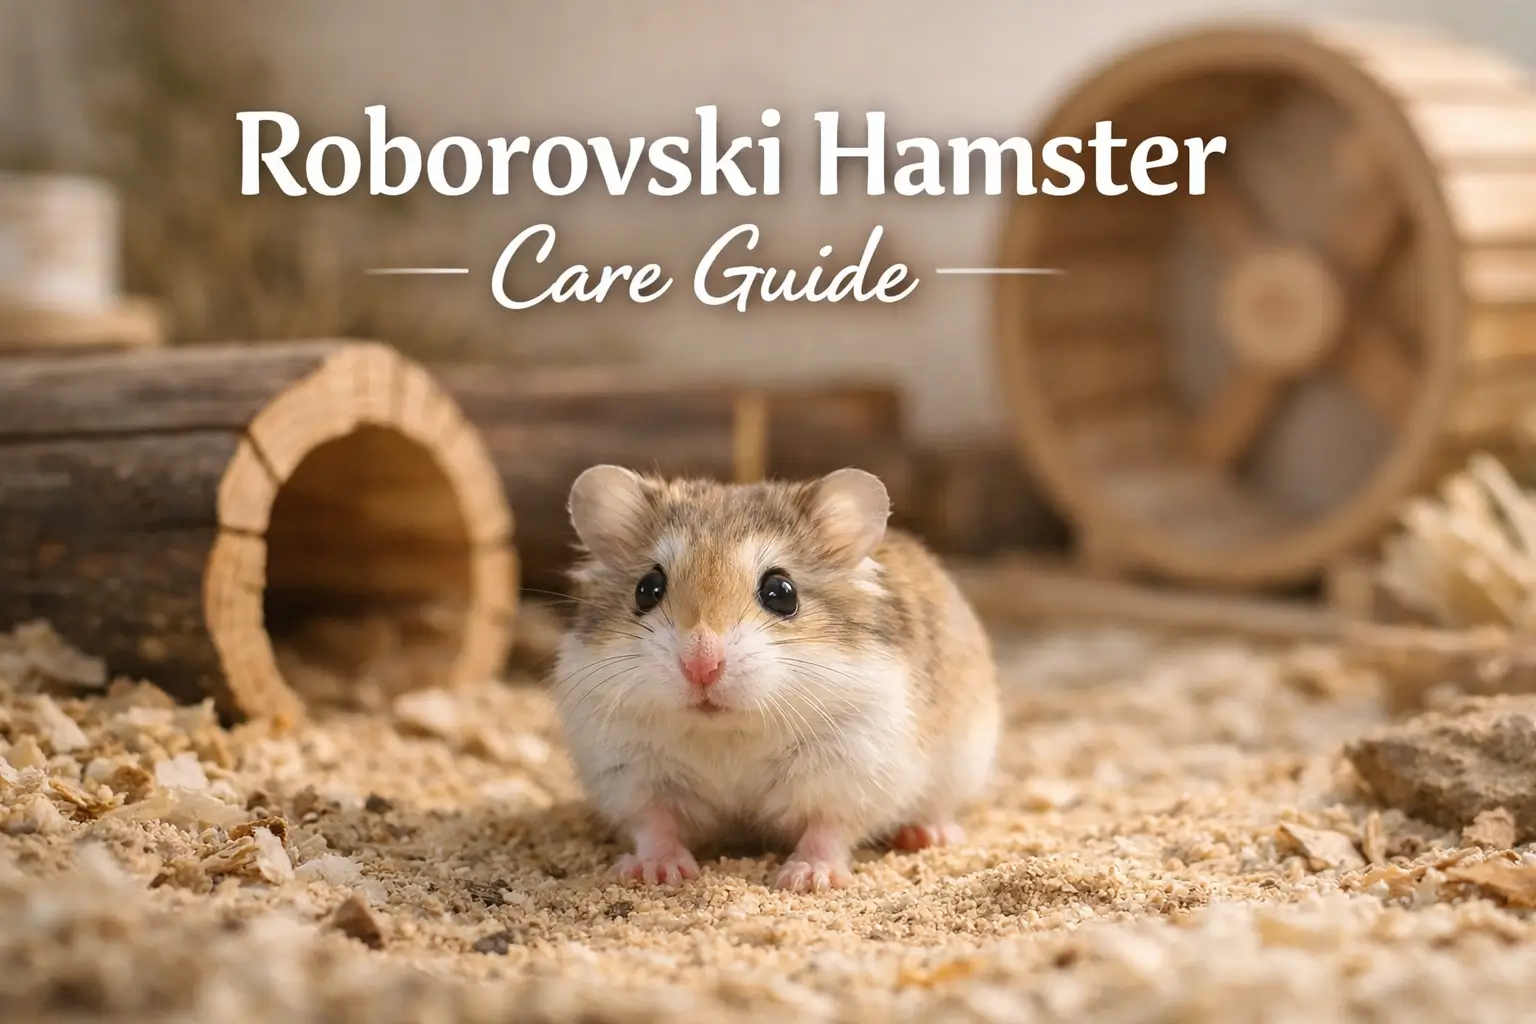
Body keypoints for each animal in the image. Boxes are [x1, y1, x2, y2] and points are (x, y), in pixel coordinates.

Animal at [550, 464, 1000, 892]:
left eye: (782, 592)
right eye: (647, 589)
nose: (701, 665)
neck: (727, 733)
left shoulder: (850, 769)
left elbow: (827, 828)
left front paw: (808, 879)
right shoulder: (630, 772)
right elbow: (655, 824)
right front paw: (656, 872)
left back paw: (930, 834)